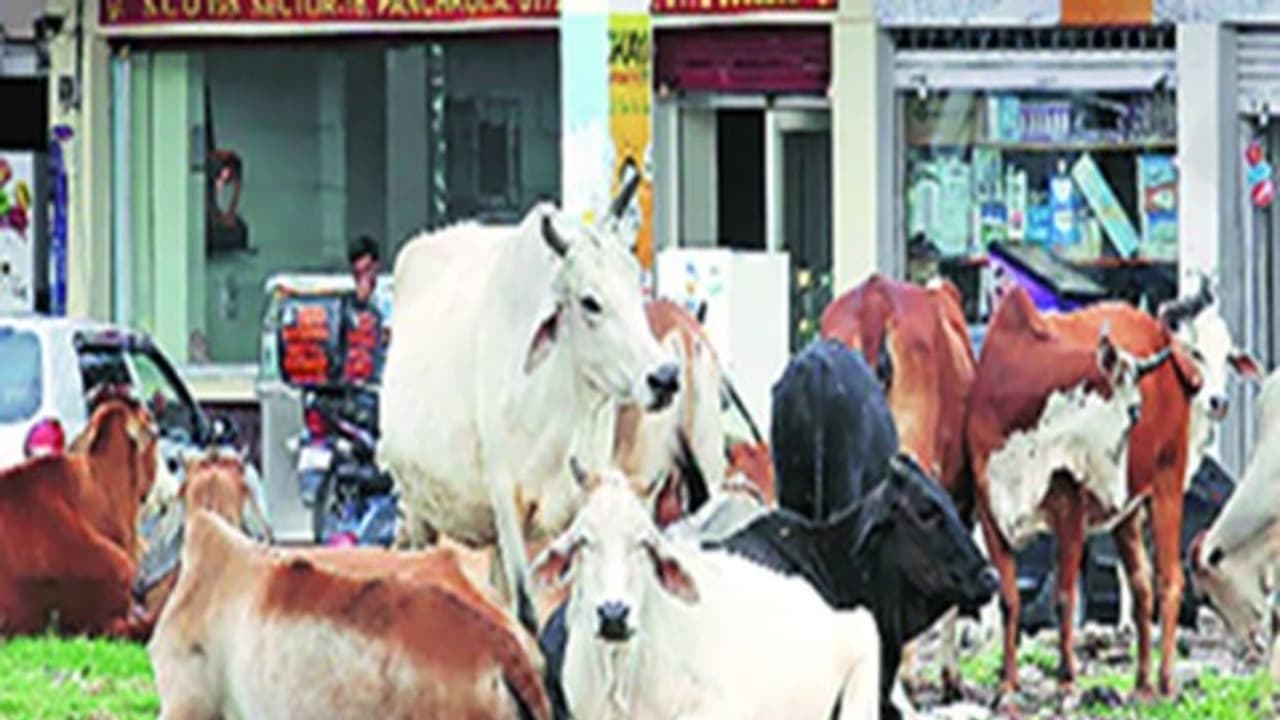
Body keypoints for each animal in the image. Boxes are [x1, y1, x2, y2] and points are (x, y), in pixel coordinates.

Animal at [378, 179, 680, 633]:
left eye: (637, 290)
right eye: (590, 302)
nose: (664, 377)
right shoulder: (508, 501)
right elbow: (525, 609)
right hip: (415, 509)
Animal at [967, 286, 1204, 701]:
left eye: (1138, 412)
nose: (1116, 492)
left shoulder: (1070, 512)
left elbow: (1064, 598)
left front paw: (1066, 677)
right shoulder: (990, 510)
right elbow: (1009, 599)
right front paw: (1008, 681)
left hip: (1167, 485)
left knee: (1170, 580)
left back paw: (1165, 679)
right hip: (1128, 516)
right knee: (1141, 587)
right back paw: (1141, 682)